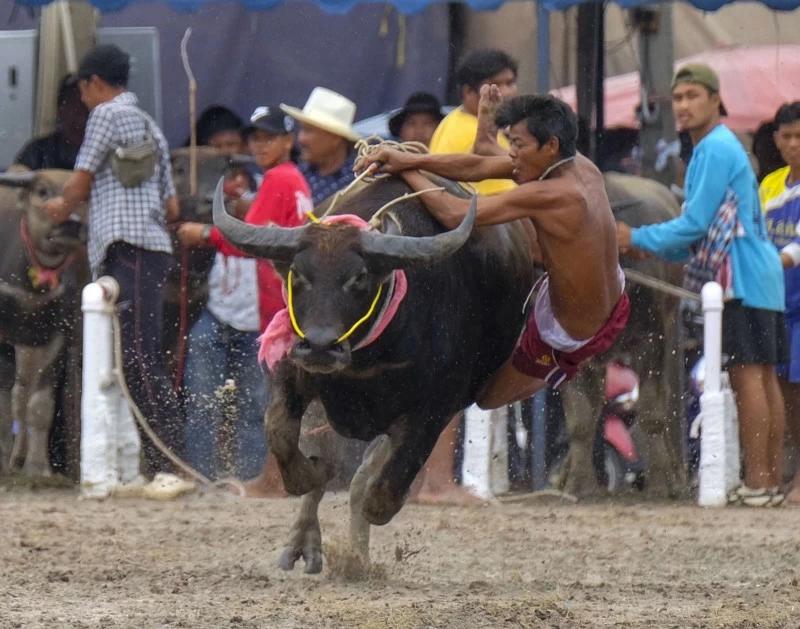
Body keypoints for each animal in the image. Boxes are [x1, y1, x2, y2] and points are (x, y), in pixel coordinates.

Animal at [0, 169, 85, 474]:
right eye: (42, 191)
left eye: (81, 194)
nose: (70, 225)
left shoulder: (55, 336)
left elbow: (39, 404)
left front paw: (38, 466)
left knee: (21, 395)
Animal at [216, 173, 536, 568]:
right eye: (298, 275)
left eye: (359, 278)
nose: (320, 345)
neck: (368, 359)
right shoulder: (292, 368)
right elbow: (280, 432)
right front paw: (308, 475)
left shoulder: (433, 408)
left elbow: (385, 484)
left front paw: (372, 511)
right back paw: (305, 541)